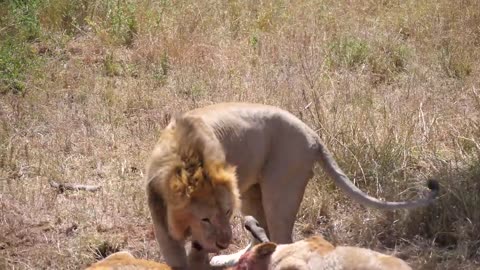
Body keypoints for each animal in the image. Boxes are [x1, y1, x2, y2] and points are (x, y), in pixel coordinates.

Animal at [145, 102, 438, 268]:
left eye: (227, 212)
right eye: (205, 218)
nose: (223, 242)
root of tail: (313, 134)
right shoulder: (163, 226)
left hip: (280, 190)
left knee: (281, 239)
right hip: (251, 192)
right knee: (258, 234)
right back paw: (229, 258)